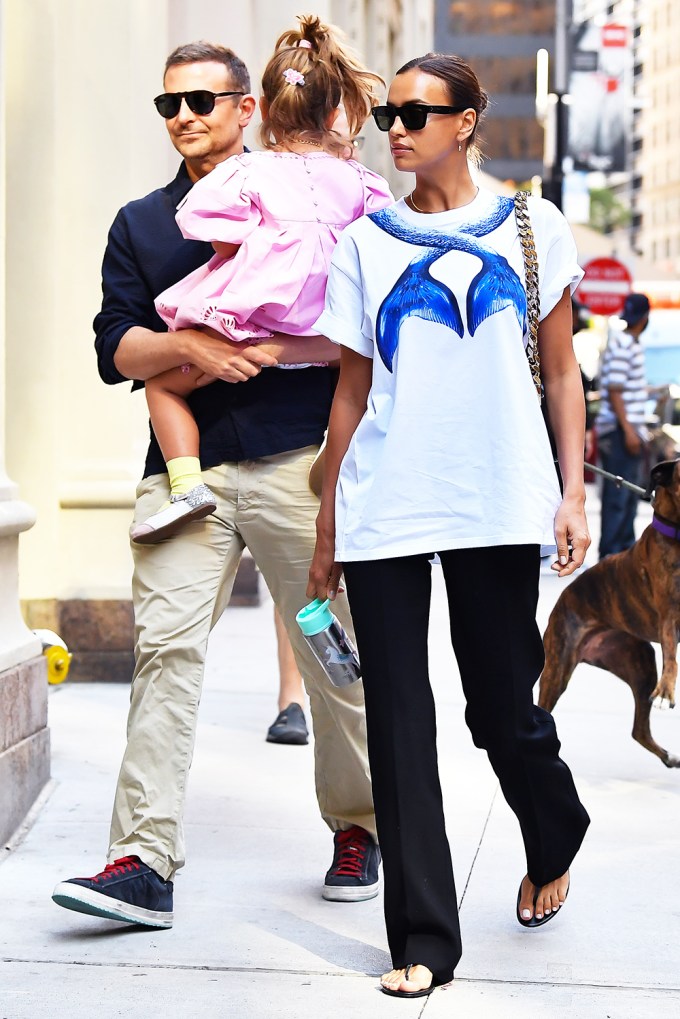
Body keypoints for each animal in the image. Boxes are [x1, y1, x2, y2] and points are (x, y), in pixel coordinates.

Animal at [542, 458, 680, 766]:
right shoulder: (669, 615)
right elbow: (671, 656)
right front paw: (667, 693)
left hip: (640, 664)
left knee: (639, 730)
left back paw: (669, 757)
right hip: (557, 670)